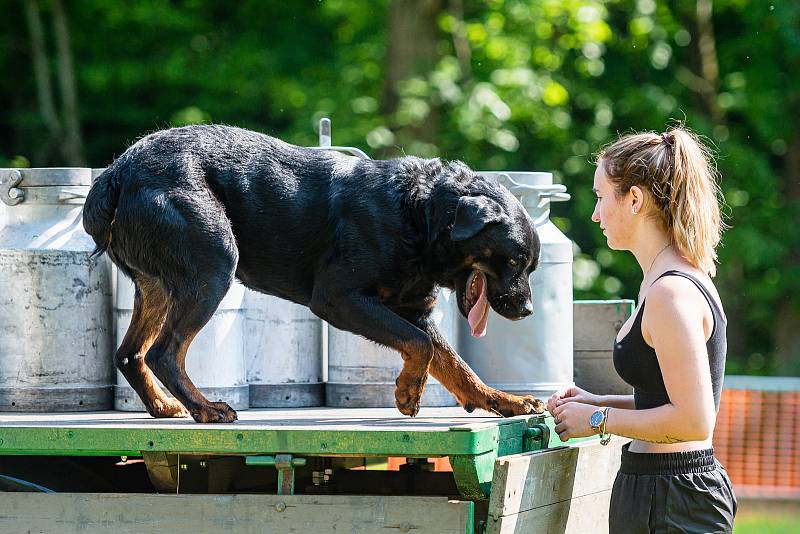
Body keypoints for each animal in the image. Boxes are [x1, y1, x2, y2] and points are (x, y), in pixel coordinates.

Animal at [84, 125, 548, 422]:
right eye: (513, 261)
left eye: (531, 266)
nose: (527, 309)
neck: (419, 214)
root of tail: (117, 171)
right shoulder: (338, 298)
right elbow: (421, 346)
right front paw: (408, 392)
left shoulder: (412, 308)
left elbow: (454, 364)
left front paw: (504, 401)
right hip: (213, 264)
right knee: (166, 351)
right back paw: (206, 408)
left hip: (158, 287)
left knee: (131, 354)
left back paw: (163, 406)